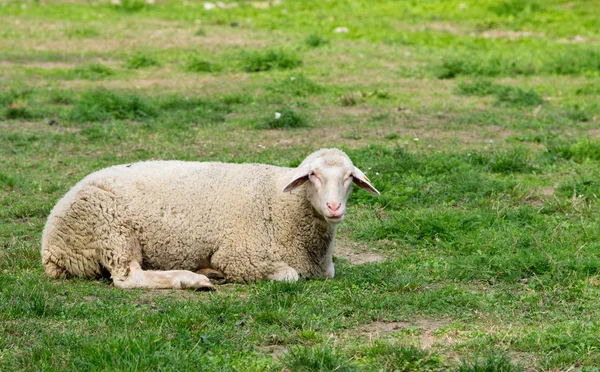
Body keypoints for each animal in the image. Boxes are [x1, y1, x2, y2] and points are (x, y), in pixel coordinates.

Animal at [41, 147, 380, 290]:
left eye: (350, 177)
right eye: (312, 175)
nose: (334, 208)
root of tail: (50, 248)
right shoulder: (239, 256)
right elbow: (289, 275)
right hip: (111, 229)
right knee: (128, 278)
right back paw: (193, 280)